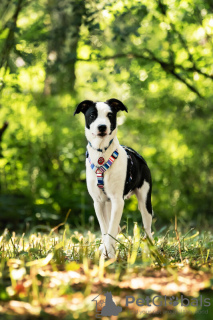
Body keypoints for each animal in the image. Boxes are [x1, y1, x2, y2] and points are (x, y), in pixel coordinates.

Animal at [74, 99, 154, 258]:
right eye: (92, 115)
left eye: (110, 115)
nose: (102, 127)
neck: (101, 154)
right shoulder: (98, 202)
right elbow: (106, 230)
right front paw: (106, 251)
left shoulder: (118, 201)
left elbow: (110, 230)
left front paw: (110, 254)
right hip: (109, 203)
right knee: (114, 227)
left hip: (145, 200)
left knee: (147, 229)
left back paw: (151, 252)